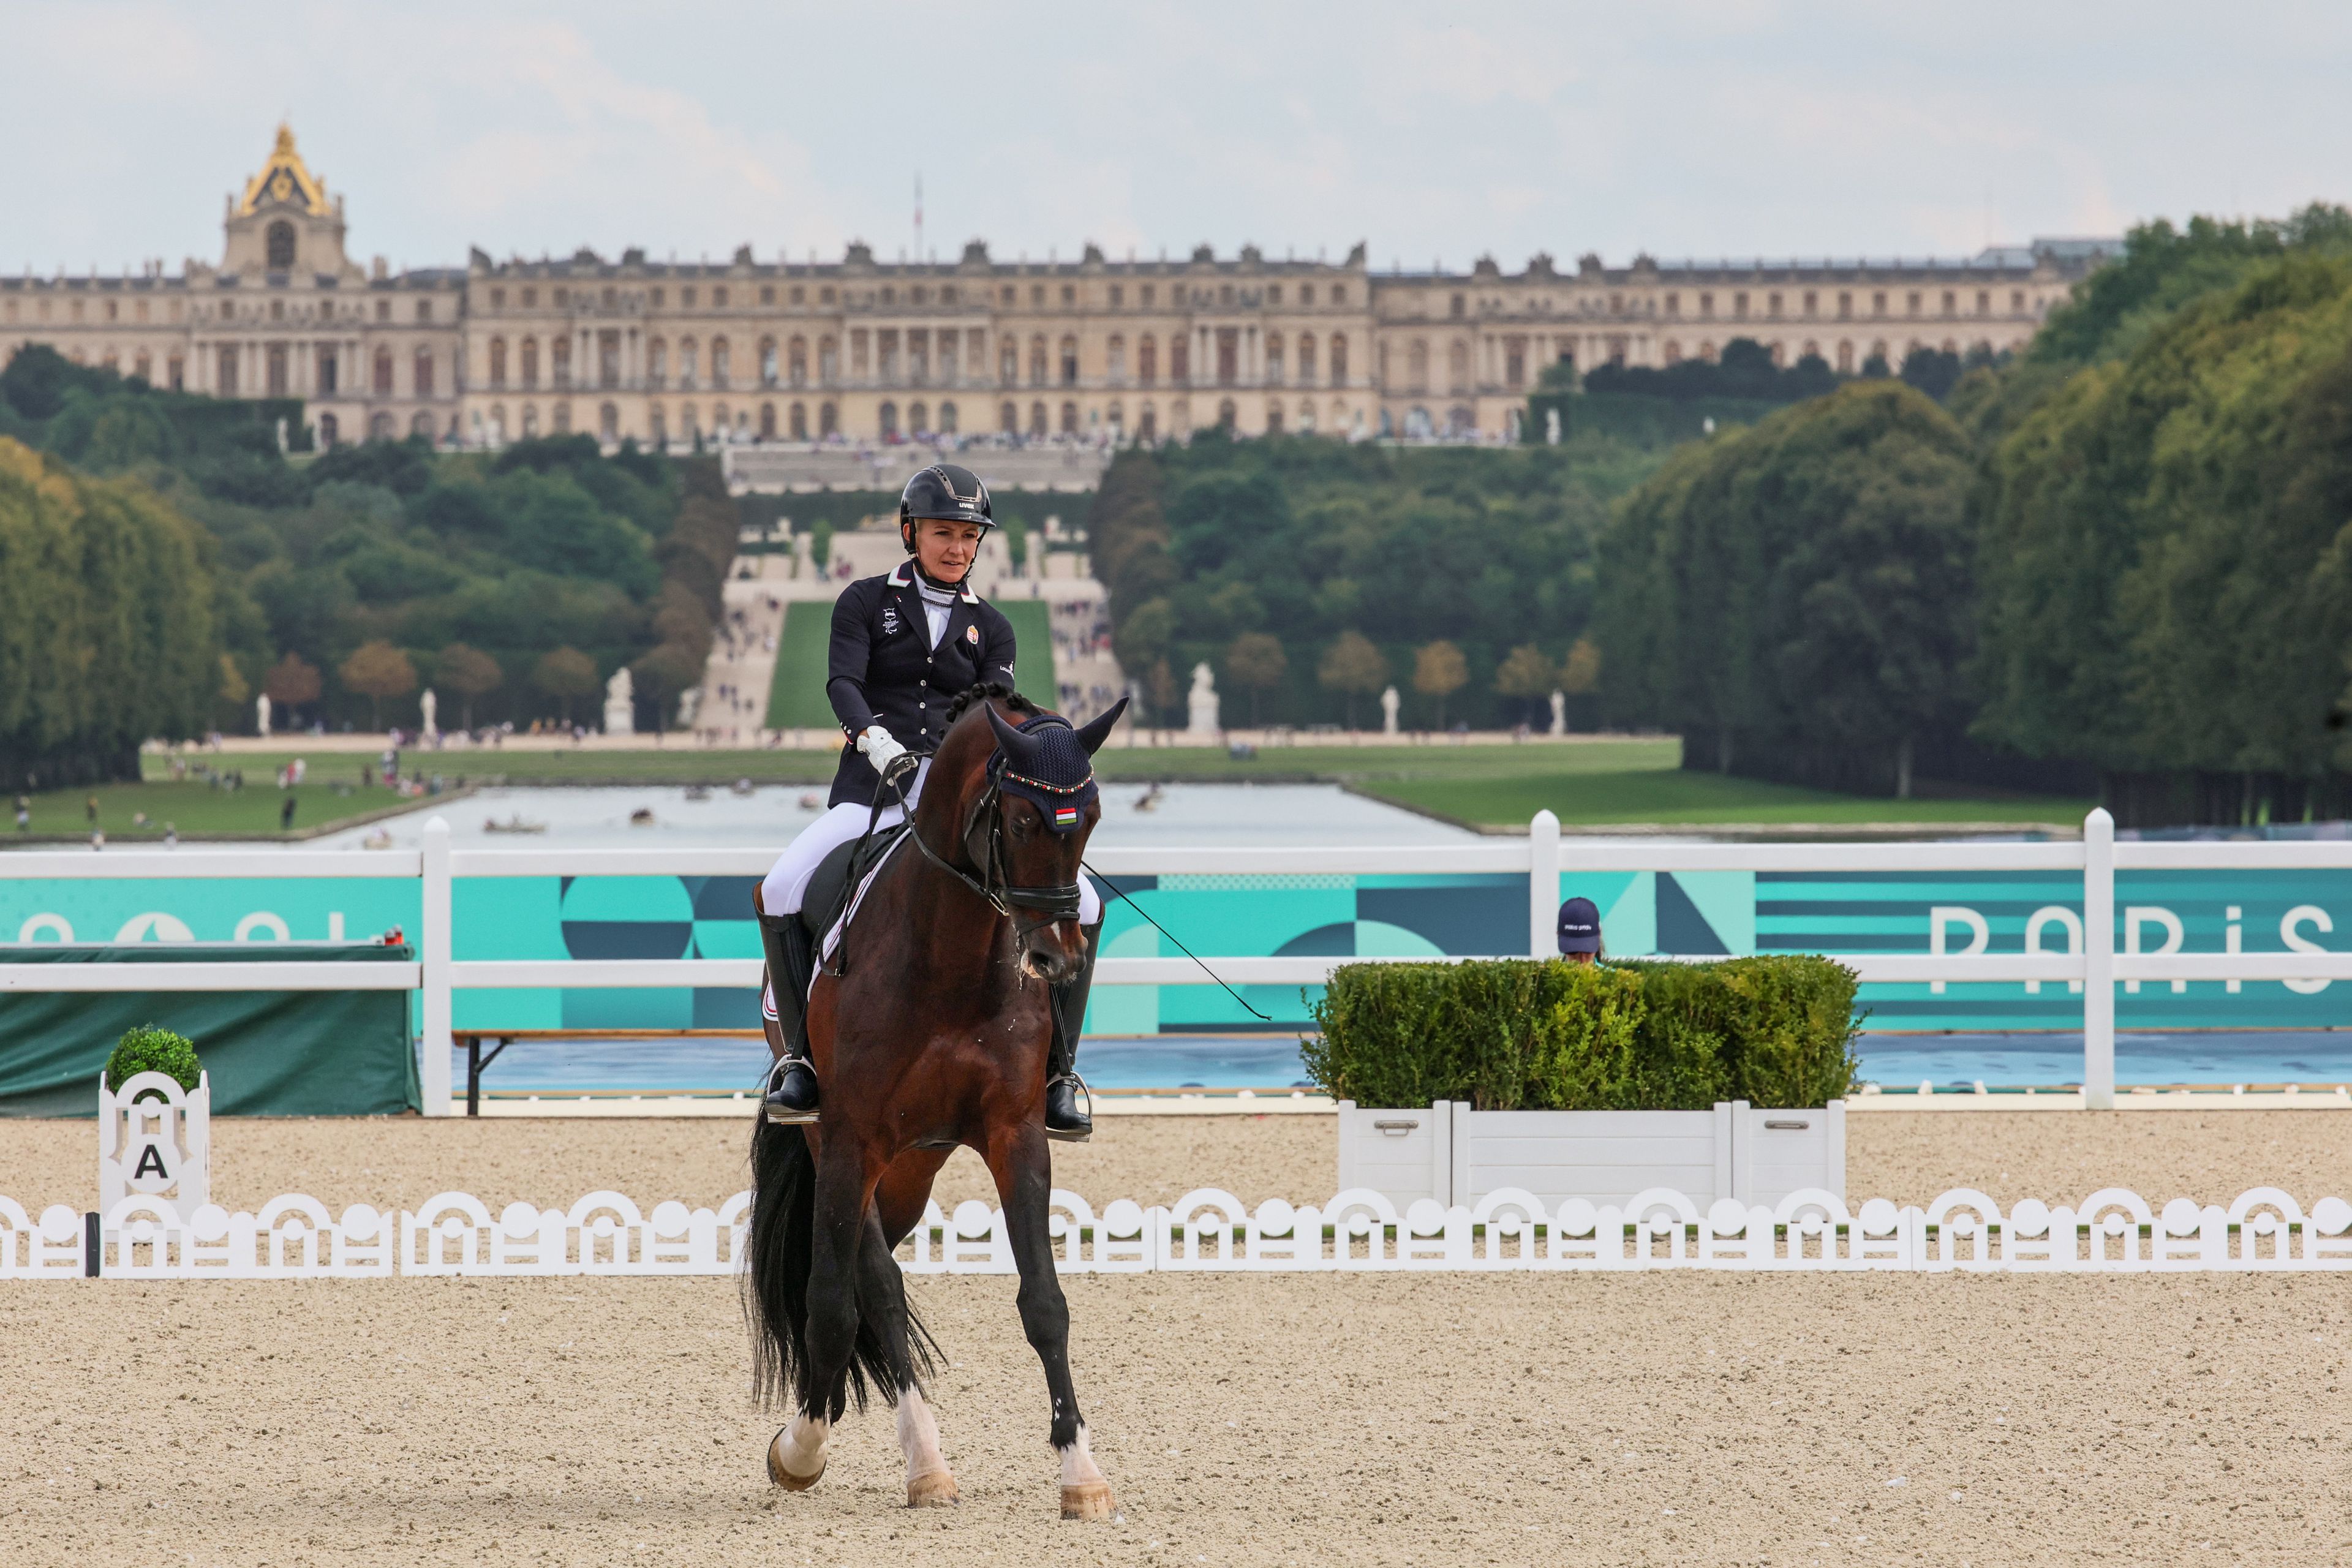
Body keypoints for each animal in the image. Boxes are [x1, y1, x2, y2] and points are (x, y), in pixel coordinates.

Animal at [748, 682, 1124, 1523]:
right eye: (1021, 820)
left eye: (1089, 817)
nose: (1056, 958)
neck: (951, 955)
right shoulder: (850, 1139)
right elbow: (834, 1302)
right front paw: (801, 1448)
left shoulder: (1017, 1134)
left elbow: (1045, 1302)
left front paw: (1080, 1472)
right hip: (843, 1146)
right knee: (868, 1287)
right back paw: (915, 1457)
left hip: (913, 1168)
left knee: (878, 1272)